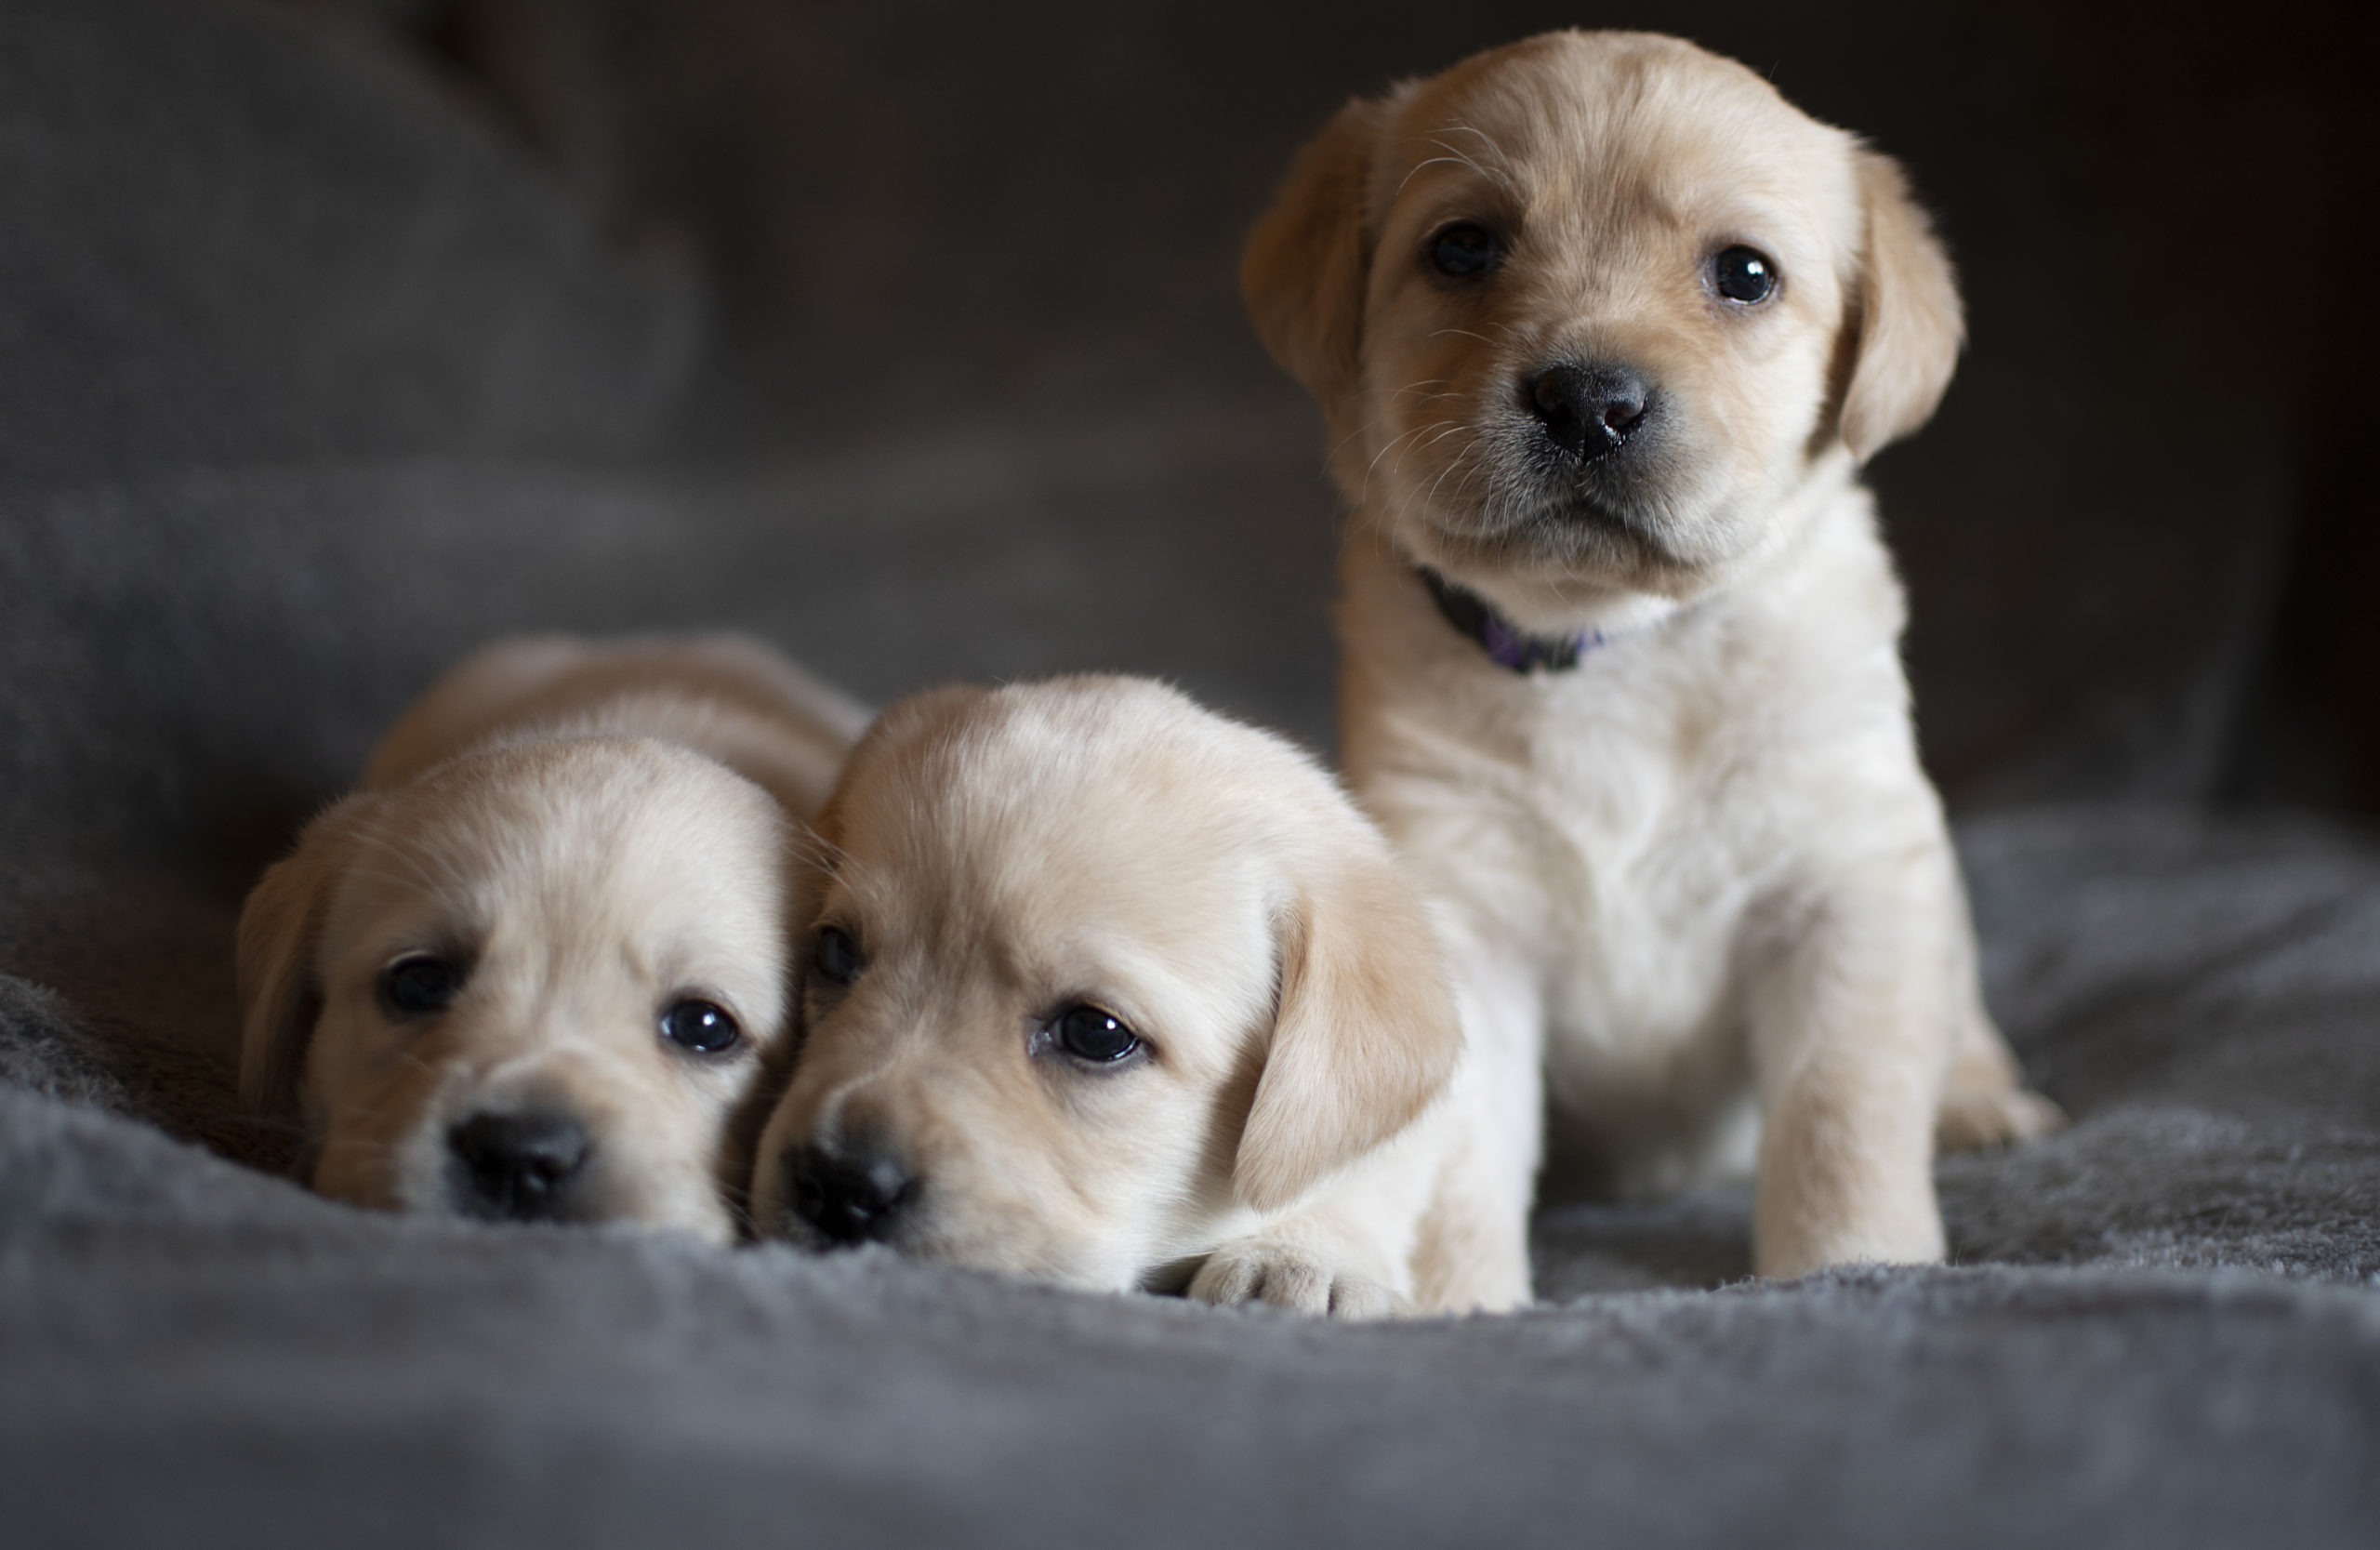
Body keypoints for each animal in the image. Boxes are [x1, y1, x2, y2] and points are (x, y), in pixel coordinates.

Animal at [1247, 30, 2066, 1276]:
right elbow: (1457, 1154)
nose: (1588, 399)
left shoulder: (1842, 887)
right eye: (1463, 247)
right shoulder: (1459, 908)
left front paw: (1854, 1263)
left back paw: (1978, 1097)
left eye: (1745, 274)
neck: (1615, 646)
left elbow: (1844, 1112)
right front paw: (1454, 1292)